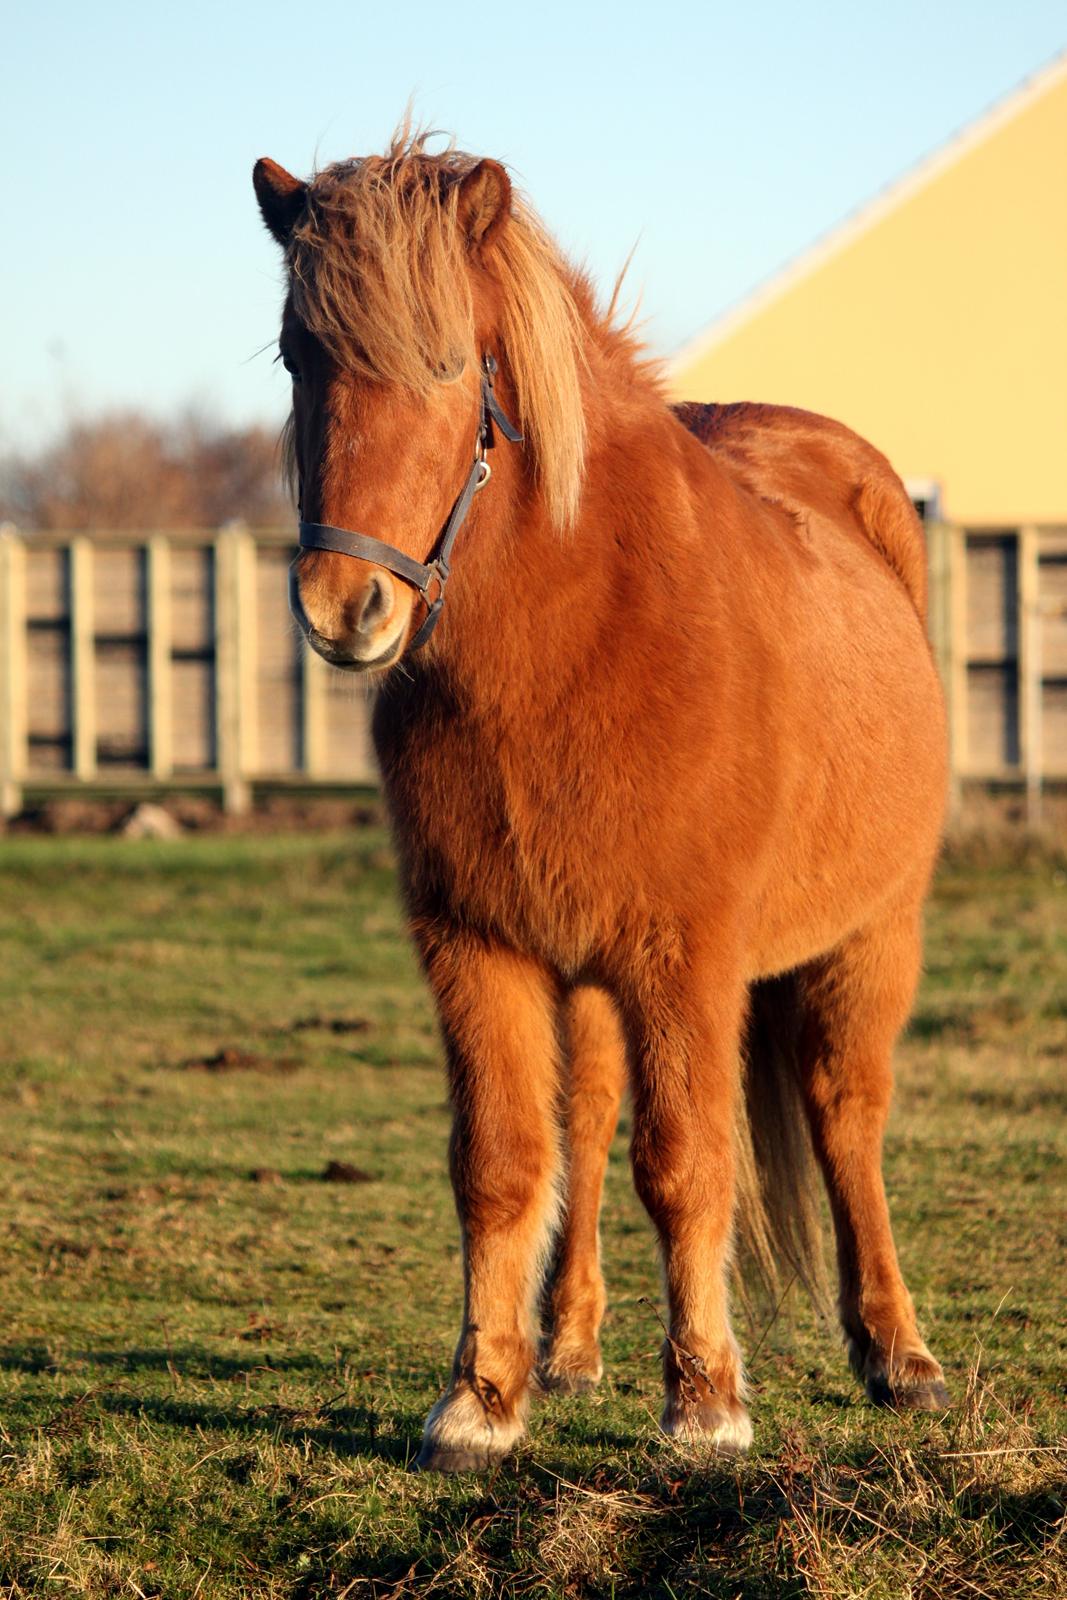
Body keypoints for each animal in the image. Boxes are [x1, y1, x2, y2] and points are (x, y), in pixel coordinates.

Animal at [254, 137, 947, 1472]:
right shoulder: (477, 946)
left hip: (866, 935)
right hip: (583, 974)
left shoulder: (685, 957)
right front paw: (482, 1396)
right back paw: (567, 1348)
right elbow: (503, 1161)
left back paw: (897, 1353)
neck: (581, 626)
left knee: (845, 1117)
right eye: (295, 355)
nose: (344, 608)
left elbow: (683, 1162)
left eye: (448, 361)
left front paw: (706, 1401)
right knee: (583, 1120)